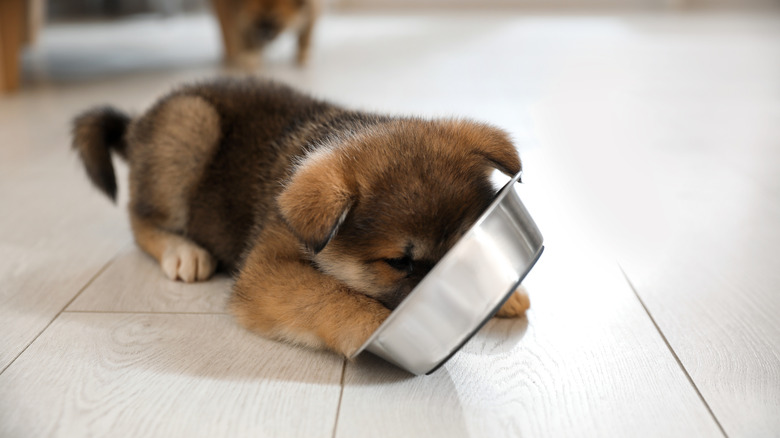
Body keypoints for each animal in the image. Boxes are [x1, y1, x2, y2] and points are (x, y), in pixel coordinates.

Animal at [71, 77, 532, 358]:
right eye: (399, 262)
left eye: (469, 243)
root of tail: (137, 123)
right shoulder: (266, 269)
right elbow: (334, 297)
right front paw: (380, 327)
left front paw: (502, 292)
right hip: (190, 126)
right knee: (139, 219)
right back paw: (182, 251)